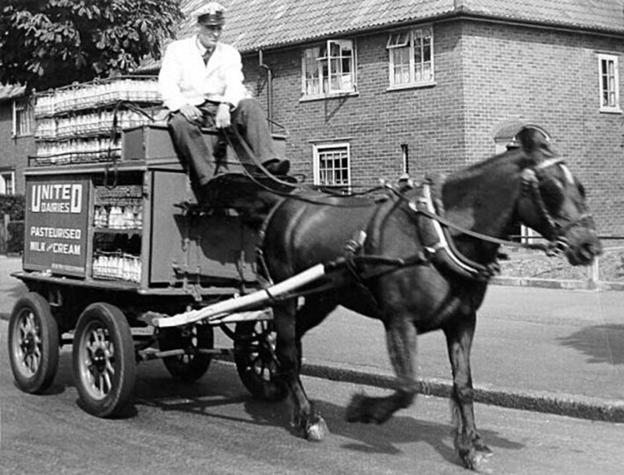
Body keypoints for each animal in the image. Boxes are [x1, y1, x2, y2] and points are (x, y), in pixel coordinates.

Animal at [256, 127, 604, 472]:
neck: (437, 237)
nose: (590, 246)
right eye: (552, 187)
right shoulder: (399, 321)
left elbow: (463, 385)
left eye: (580, 186)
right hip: (285, 295)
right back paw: (307, 416)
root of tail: (283, 206)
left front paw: (471, 446)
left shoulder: (462, 320)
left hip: (323, 298)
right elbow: (408, 386)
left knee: (290, 341)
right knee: (287, 349)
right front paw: (363, 409)